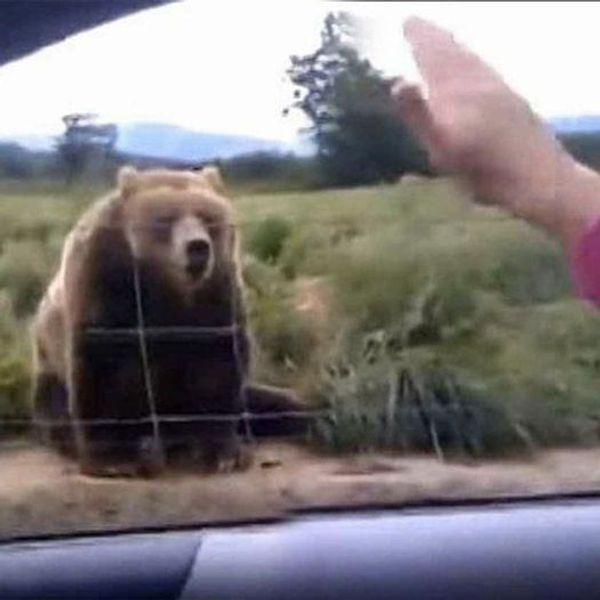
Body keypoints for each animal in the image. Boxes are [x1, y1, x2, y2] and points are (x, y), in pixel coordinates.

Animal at [31, 166, 308, 476]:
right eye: (165, 219)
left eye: (207, 217)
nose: (197, 247)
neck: (168, 288)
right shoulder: (105, 284)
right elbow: (103, 369)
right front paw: (117, 459)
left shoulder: (215, 295)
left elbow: (217, 366)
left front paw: (223, 452)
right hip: (48, 367)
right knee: (56, 409)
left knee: (274, 402)